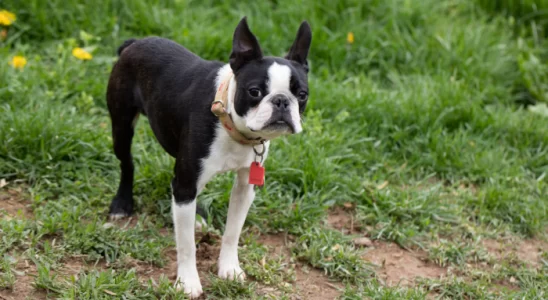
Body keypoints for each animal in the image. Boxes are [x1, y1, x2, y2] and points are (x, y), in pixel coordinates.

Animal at [106, 17, 312, 298]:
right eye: (255, 91)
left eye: (302, 95)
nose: (281, 101)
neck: (234, 128)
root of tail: (134, 43)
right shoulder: (185, 184)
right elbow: (186, 244)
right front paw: (187, 282)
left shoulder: (244, 186)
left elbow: (233, 231)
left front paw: (229, 268)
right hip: (122, 125)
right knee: (127, 163)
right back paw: (122, 204)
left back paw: (199, 217)